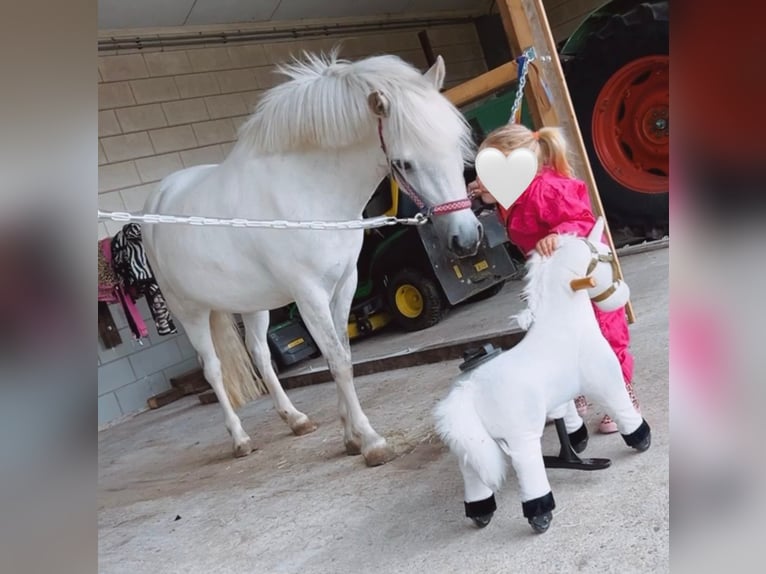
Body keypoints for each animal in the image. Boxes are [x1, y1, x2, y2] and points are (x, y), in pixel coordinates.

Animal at [142, 51, 480, 468]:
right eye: (404, 163)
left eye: (455, 144)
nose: (466, 238)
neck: (308, 192)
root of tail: (158, 199)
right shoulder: (309, 296)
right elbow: (337, 360)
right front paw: (370, 441)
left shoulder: (345, 284)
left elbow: (344, 353)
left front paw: (350, 436)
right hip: (189, 311)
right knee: (213, 370)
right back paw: (240, 439)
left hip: (252, 304)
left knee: (260, 355)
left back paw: (295, 419)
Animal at [436, 219, 652, 536]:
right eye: (606, 259)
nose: (623, 294)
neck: (565, 326)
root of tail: (469, 391)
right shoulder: (604, 380)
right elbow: (621, 407)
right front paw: (641, 438)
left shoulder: (560, 396)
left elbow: (568, 416)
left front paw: (578, 444)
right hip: (522, 435)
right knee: (529, 468)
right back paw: (540, 513)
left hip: (473, 442)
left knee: (473, 473)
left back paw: (481, 513)